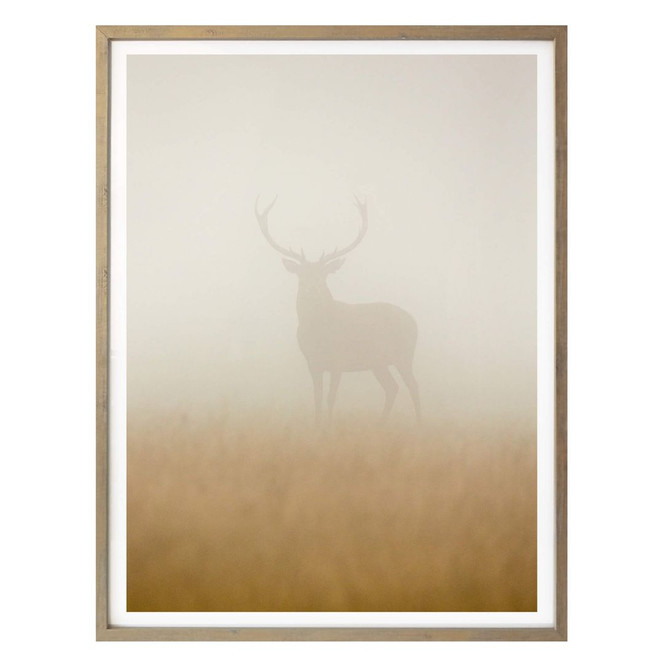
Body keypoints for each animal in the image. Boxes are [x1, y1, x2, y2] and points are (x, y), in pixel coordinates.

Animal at [255, 195, 421, 426]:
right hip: (378, 362)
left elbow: (331, 397)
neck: (318, 333)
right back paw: (380, 424)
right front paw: (317, 425)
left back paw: (420, 424)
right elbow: (317, 397)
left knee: (413, 386)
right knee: (392, 387)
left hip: (404, 354)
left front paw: (329, 427)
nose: (312, 288)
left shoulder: (338, 360)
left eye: (323, 275)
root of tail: (414, 322)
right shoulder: (312, 362)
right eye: (301, 275)